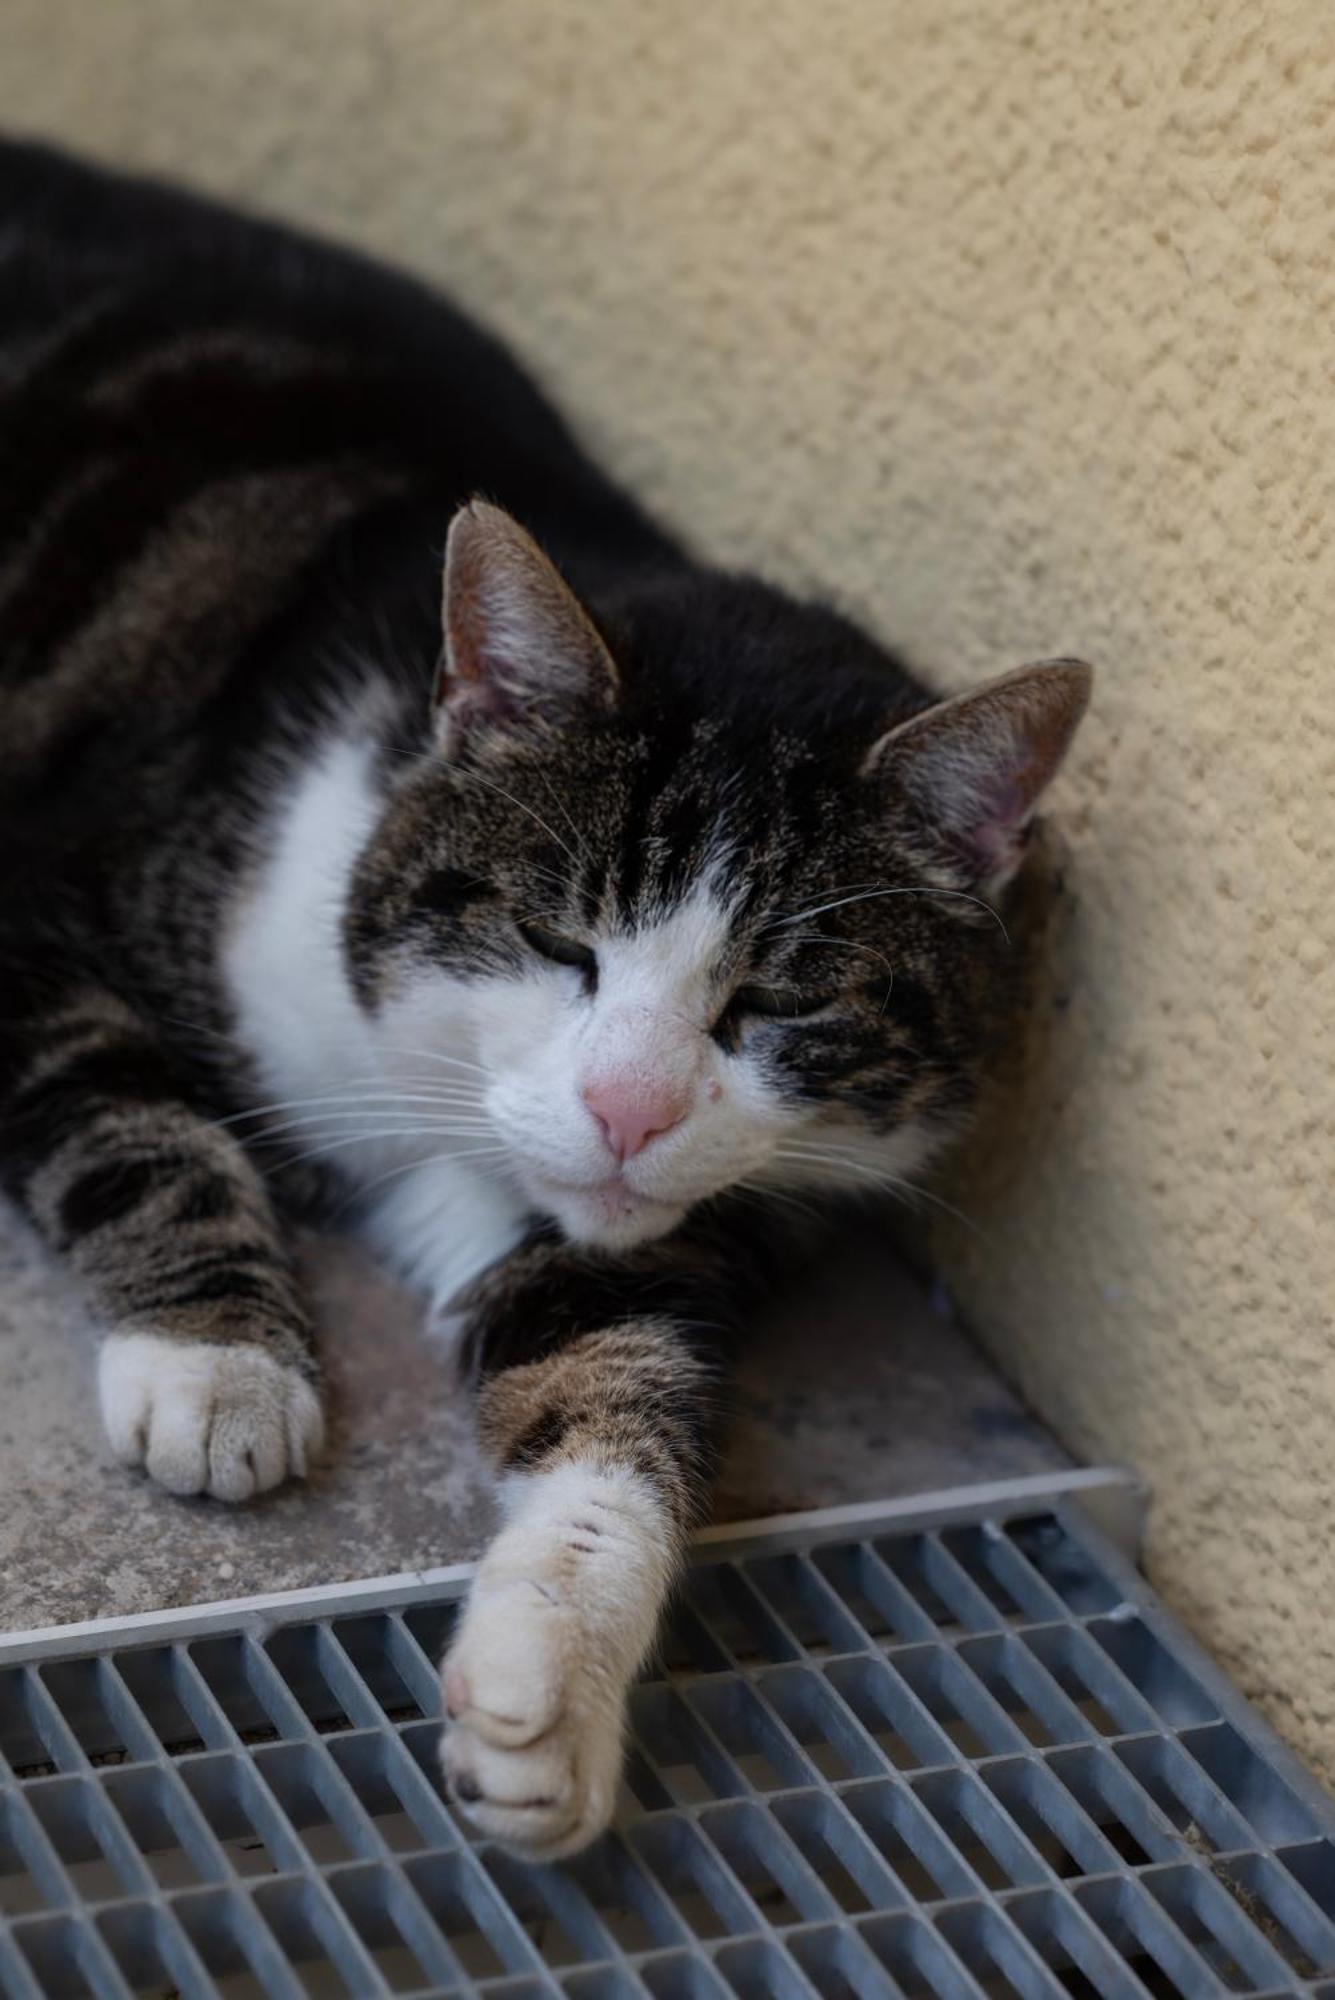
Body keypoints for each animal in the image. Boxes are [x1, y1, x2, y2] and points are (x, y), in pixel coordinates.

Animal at [0, 141, 1087, 1856]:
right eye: (557, 941)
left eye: (776, 1001)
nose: (625, 1112)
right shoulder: (32, 890)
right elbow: (128, 1111)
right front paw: (219, 1365)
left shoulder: (609, 1229)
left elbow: (616, 1380)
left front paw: (543, 1693)